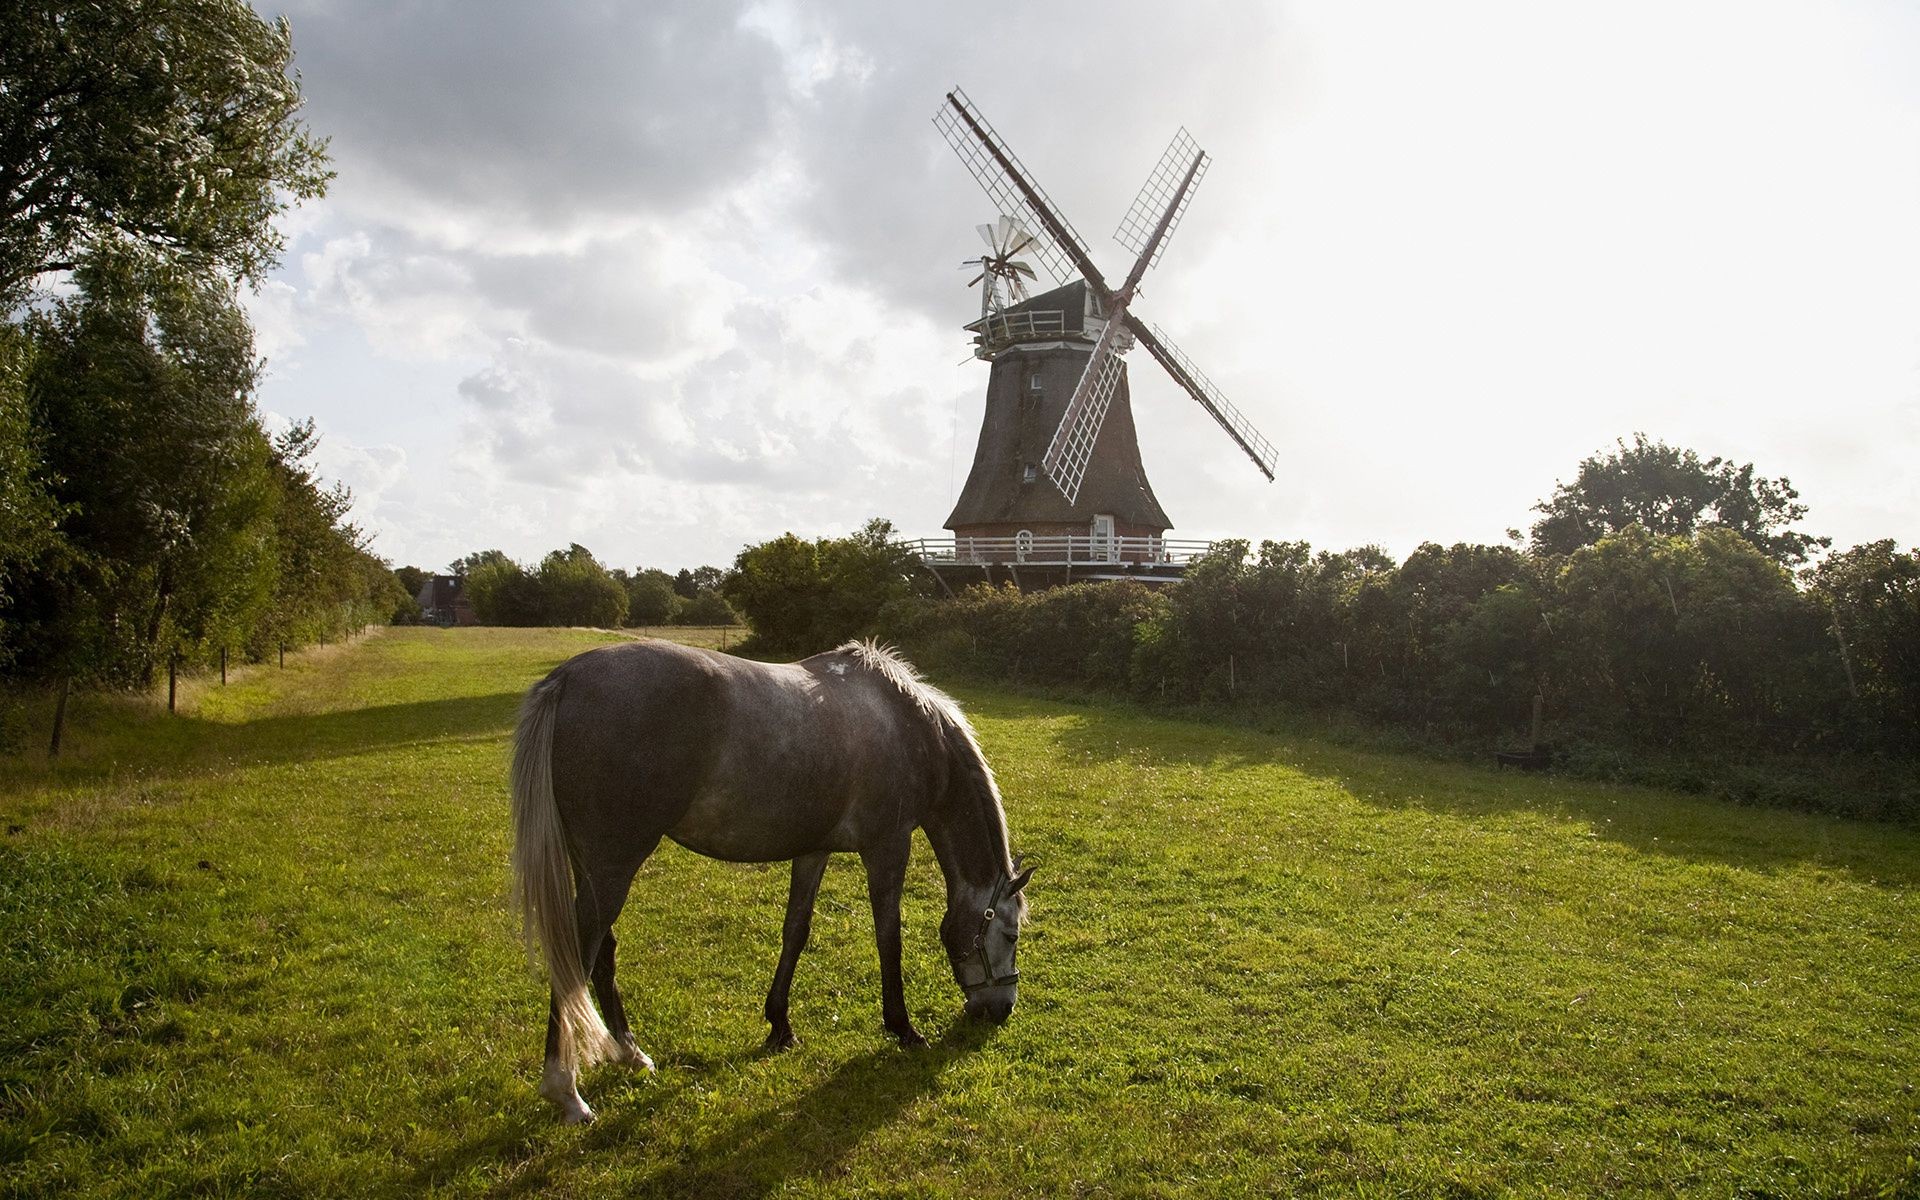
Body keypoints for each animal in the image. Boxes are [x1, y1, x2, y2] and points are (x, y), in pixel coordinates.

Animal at [503, 637, 1029, 1121]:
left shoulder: (813, 851)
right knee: (578, 955)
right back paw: (567, 1091)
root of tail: (568, 677)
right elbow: (888, 938)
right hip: (613, 867)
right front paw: (902, 1027)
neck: (908, 727)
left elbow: (796, 931)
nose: (1002, 1009)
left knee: (602, 954)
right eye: (1010, 933)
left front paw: (779, 1025)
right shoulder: (887, 849)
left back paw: (632, 1054)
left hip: (595, 869)